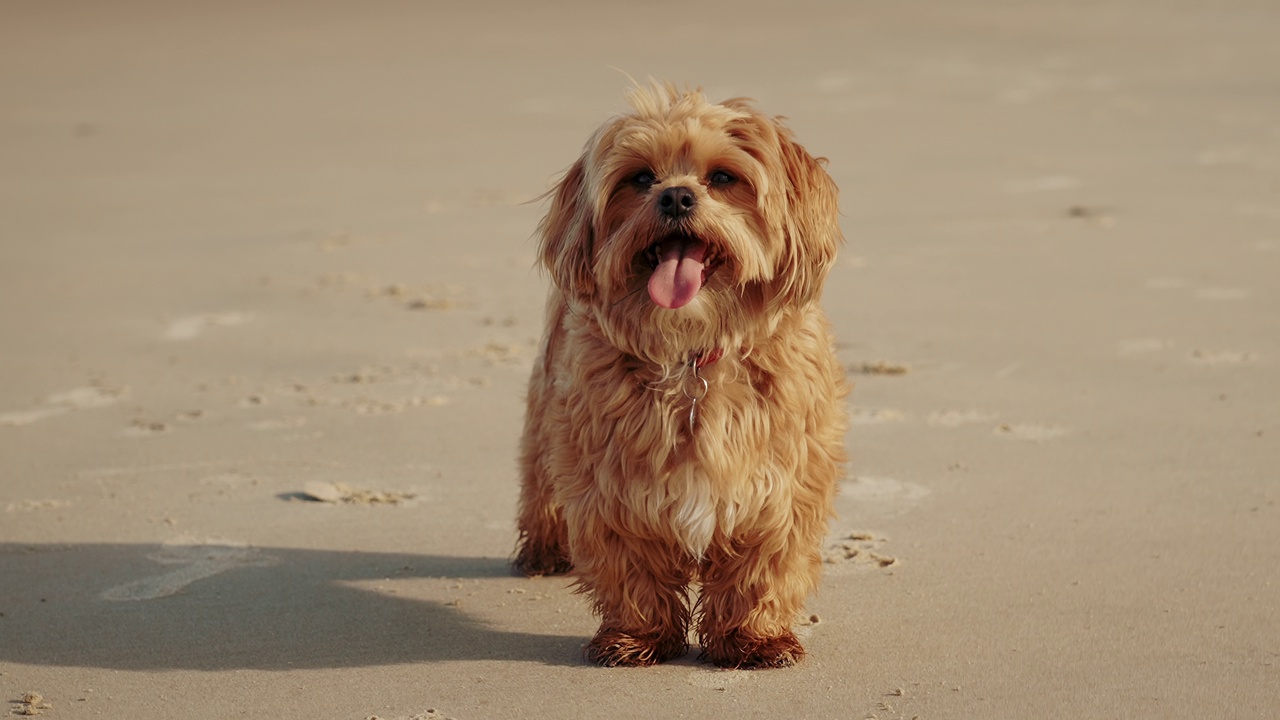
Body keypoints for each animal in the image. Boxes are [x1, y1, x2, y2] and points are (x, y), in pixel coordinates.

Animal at [509, 82, 849, 666]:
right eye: (642, 178)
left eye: (723, 177)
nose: (675, 197)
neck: (691, 353)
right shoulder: (611, 484)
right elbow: (631, 567)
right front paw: (639, 637)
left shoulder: (782, 484)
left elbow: (762, 566)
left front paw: (752, 639)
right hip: (546, 415)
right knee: (540, 479)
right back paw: (544, 548)